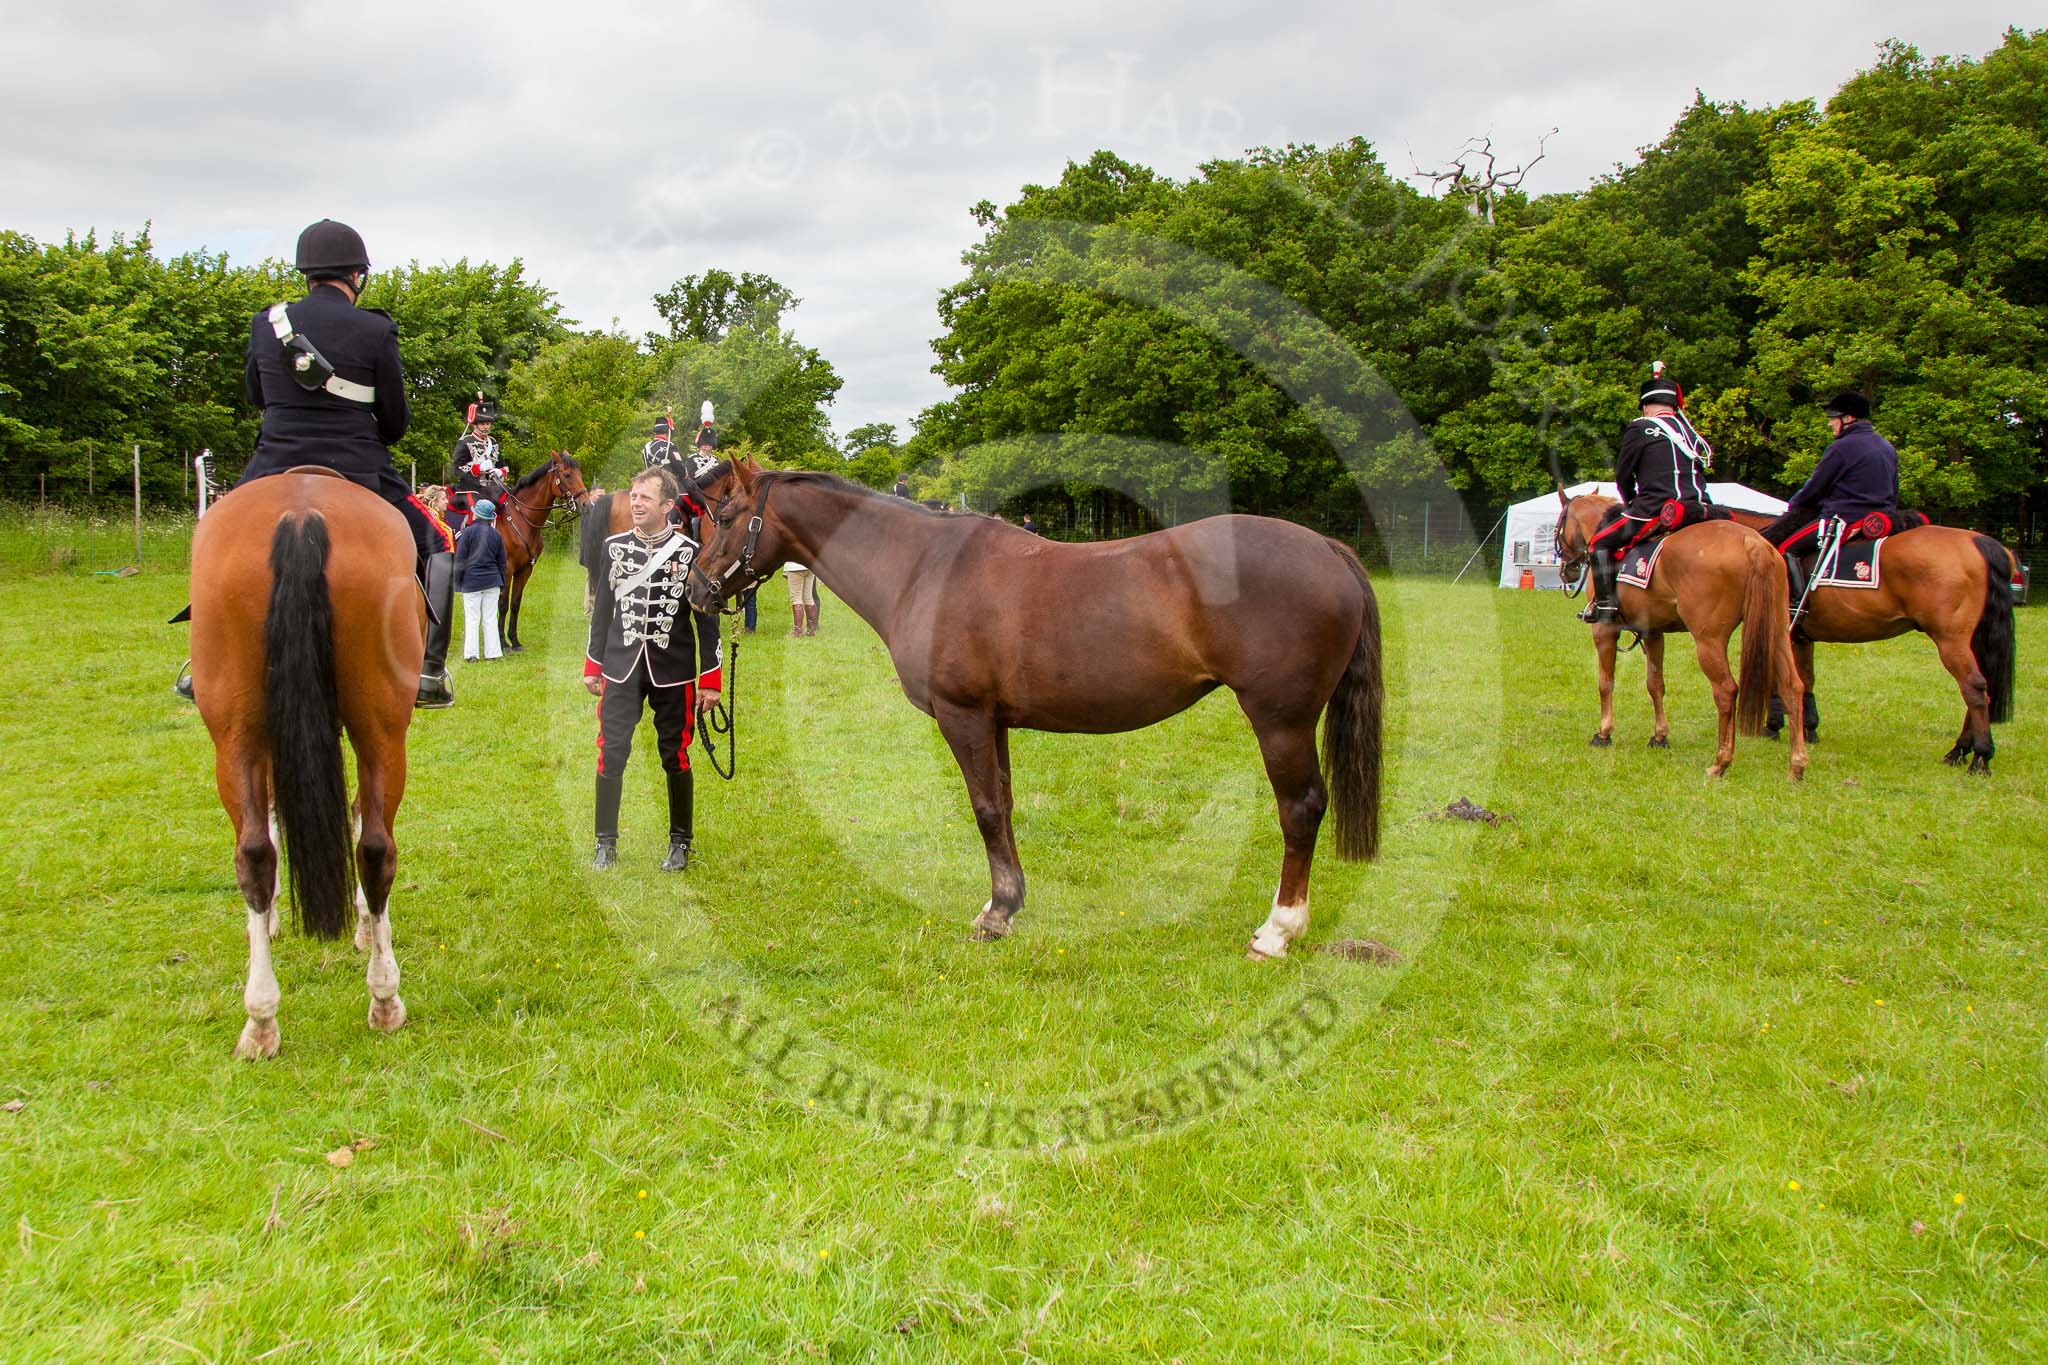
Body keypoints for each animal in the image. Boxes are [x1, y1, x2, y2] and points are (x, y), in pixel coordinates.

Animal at [679, 458, 1384, 961]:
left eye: (728, 514)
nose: (696, 591)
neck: (921, 567)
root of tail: (1326, 549)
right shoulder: (994, 721)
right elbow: (1006, 805)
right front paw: (1012, 901)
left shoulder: (963, 715)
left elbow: (985, 809)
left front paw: (994, 915)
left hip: (1280, 722)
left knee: (1301, 809)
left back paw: (1277, 930)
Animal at [1720, 509, 2023, 773]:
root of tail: (1979, 541)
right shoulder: (1802, 638)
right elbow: (1807, 680)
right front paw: (1810, 727)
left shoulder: (1781, 632)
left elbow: (1779, 679)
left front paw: (1772, 726)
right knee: (1982, 688)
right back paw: (1961, 750)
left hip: (1951, 641)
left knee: (1974, 688)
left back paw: (1979, 756)